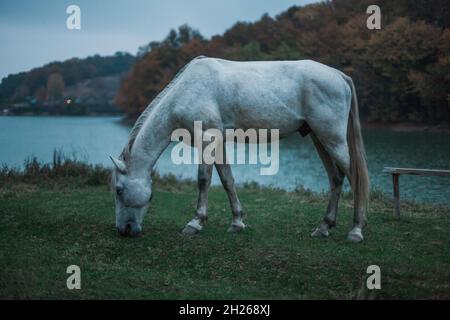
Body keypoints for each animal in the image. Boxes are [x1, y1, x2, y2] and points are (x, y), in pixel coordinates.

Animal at [110, 57, 370, 242]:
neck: (187, 91)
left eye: (119, 190)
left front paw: (195, 223)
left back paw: (356, 230)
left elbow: (203, 180)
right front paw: (237, 222)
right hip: (320, 139)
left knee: (354, 178)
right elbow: (227, 180)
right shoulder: (218, 143)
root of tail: (339, 76)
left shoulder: (207, 140)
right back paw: (324, 227)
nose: (125, 229)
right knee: (336, 179)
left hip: (332, 139)